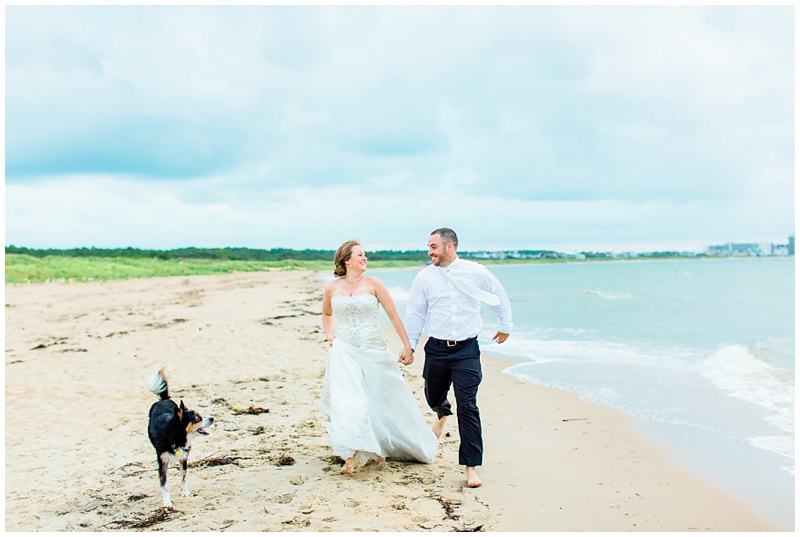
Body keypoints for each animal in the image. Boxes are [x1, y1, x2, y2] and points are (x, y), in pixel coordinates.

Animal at [148, 368, 214, 506]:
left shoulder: (184, 457)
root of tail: (163, 399)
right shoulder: (163, 462)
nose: (212, 418)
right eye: (197, 418)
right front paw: (167, 503)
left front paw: (185, 492)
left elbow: (183, 477)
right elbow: (164, 485)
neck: (175, 434)